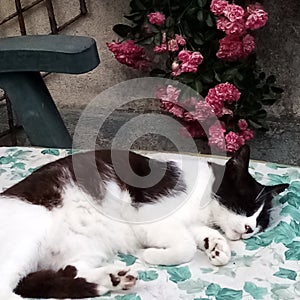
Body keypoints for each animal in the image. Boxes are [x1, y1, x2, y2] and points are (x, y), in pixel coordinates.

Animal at [0, 145, 288, 298]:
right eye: (246, 205)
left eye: (261, 222)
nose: (249, 229)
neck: (204, 196)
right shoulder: (149, 216)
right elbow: (185, 246)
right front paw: (152, 255)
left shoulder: (190, 222)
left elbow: (201, 234)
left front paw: (217, 248)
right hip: (30, 236)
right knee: (7, 288)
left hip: (85, 248)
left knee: (68, 270)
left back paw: (112, 279)